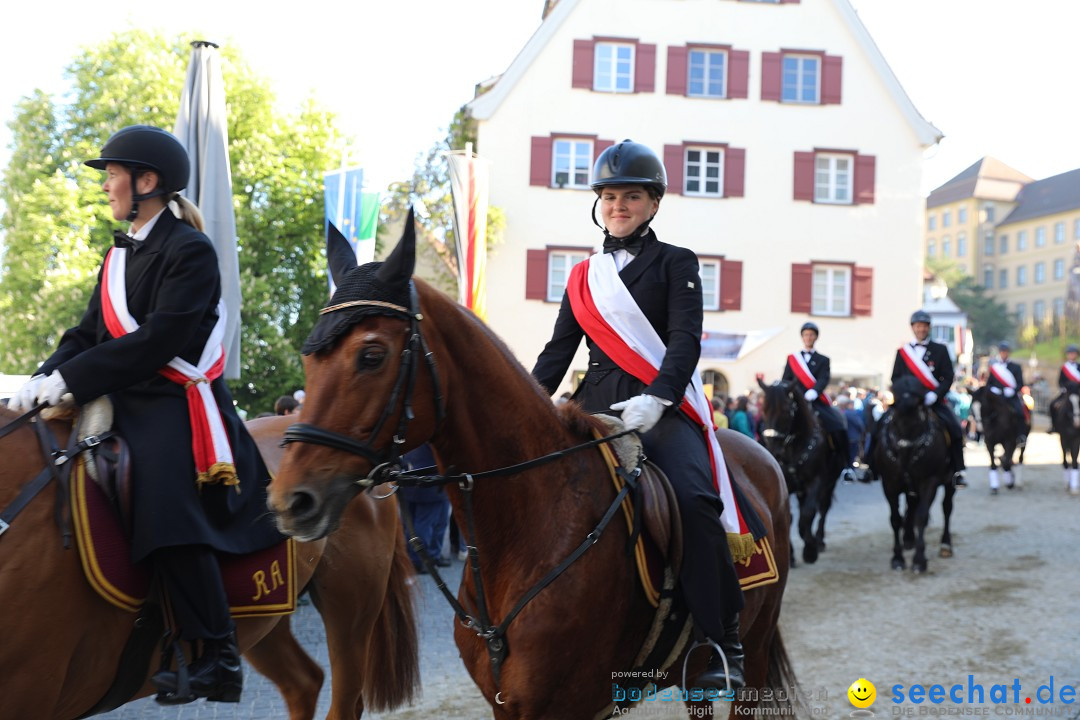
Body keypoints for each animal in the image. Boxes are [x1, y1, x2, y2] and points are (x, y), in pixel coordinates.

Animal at [267, 221, 794, 720]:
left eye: (371, 355)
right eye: (309, 357)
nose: (291, 501)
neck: (531, 521)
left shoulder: (567, 706)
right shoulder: (506, 705)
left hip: (756, 651)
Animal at [756, 379, 838, 565]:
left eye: (786, 411)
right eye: (764, 409)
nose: (773, 449)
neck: (792, 447)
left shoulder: (815, 481)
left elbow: (807, 514)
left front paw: (810, 550)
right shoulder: (785, 485)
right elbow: (791, 517)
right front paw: (791, 554)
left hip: (830, 482)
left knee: (822, 508)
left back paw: (819, 541)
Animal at [868, 377, 954, 574]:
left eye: (918, 418)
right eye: (895, 419)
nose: (904, 451)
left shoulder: (929, 482)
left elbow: (922, 517)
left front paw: (919, 560)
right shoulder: (889, 484)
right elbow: (895, 519)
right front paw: (897, 558)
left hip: (949, 481)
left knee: (946, 508)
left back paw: (946, 545)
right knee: (911, 506)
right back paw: (908, 538)